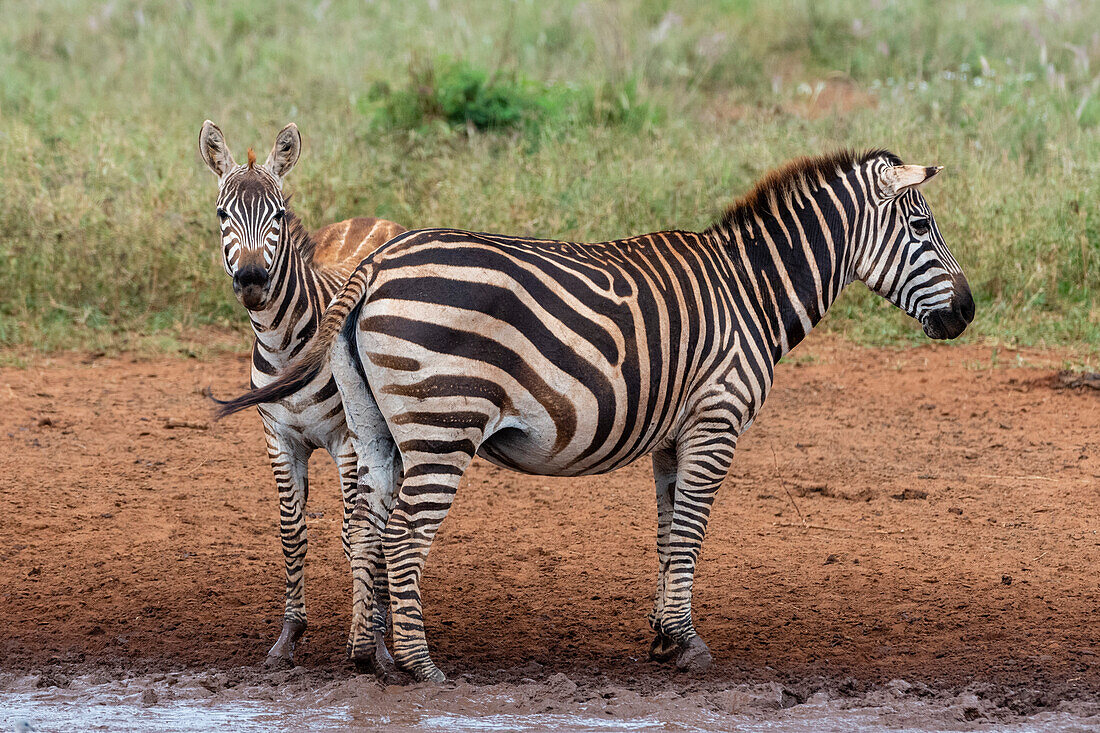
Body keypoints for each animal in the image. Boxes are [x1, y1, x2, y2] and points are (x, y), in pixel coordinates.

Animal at [195, 121, 407, 669]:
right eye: (222, 214)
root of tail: (374, 218)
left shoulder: (348, 442)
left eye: (278, 214)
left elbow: (359, 534)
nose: (251, 280)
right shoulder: (279, 439)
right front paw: (288, 637)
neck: (283, 343)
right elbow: (293, 534)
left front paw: (374, 642)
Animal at [212, 147, 972, 677]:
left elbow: (668, 534)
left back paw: (372, 656)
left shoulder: (674, 436)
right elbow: (690, 534)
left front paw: (664, 638)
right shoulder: (716, 420)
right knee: (402, 536)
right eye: (922, 224)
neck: (750, 291)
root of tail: (375, 264)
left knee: (367, 531)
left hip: (376, 429)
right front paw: (689, 644)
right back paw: (422, 667)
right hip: (443, 426)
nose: (967, 311)